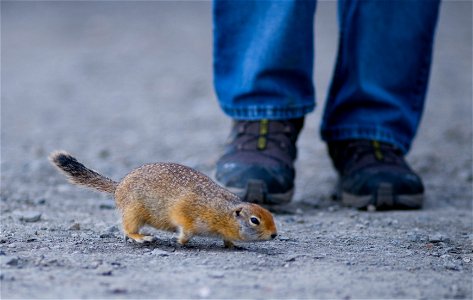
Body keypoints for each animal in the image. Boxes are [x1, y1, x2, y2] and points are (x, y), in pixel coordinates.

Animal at [48, 151, 276, 247]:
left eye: (271, 215)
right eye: (254, 220)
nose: (274, 235)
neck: (222, 211)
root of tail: (118, 186)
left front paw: (232, 245)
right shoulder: (188, 212)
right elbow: (185, 230)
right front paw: (181, 241)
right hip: (133, 212)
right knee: (127, 229)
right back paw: (142, 237)